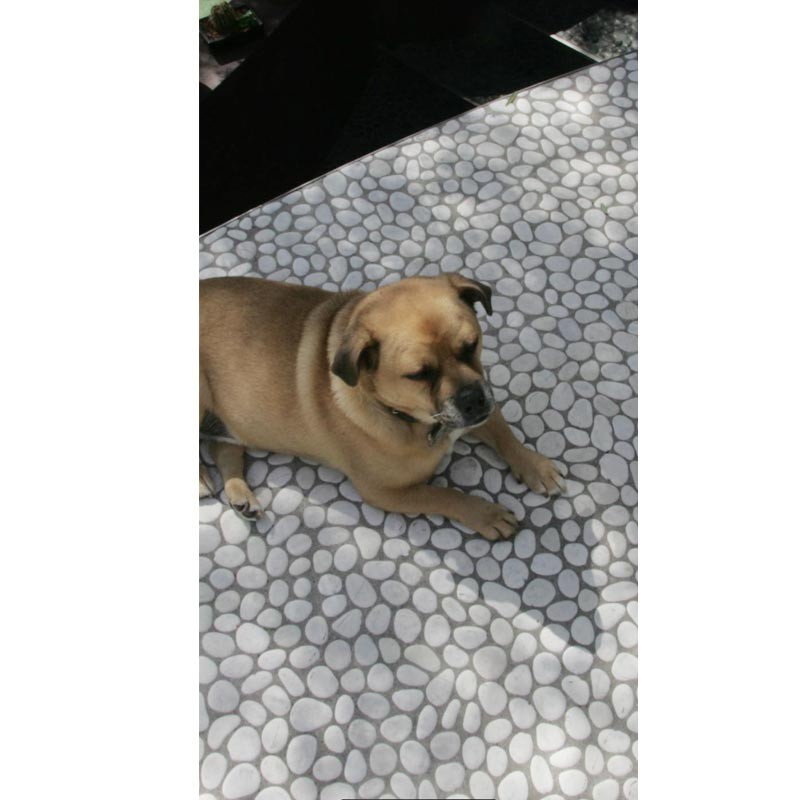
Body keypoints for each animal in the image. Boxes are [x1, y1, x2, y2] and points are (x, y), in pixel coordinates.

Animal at [200, 273, 565, 540]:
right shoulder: (385, 491)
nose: (472, 399)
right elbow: (444, 495)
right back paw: (204, 480)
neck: (418, 421)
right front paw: (486, 514)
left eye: (470, 346)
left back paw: (240, 494)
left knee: (224, 449)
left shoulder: (478, 407)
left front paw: (535, 466)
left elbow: (503, 432)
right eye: (419, 374)